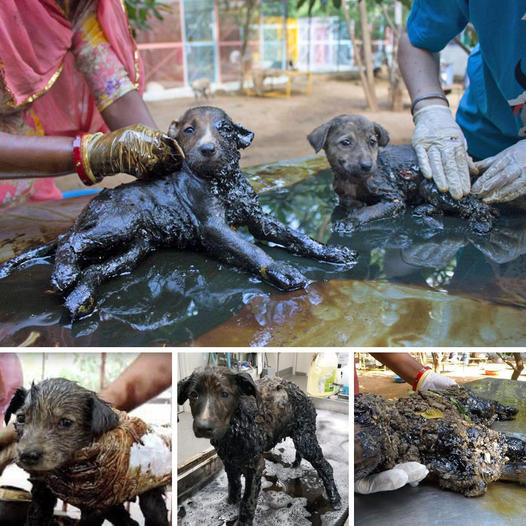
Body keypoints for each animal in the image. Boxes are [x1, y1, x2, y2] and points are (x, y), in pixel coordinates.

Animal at [0, 106, 358, 322]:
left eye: (225, 129)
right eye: (188, 130)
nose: (207, 149)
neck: (223, 183)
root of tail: (88, 209)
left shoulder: (259, 219)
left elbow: (296, 236)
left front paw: (332, 252)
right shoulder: (213, 227)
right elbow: (251, 249)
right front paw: (282, 270)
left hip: (136, 246)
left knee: (94, 269)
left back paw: (80, 297)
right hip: (117, 222)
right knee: (69, 241)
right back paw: (64, 274)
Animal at [4, 380, 169, 526]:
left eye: (66, 422)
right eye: (20, 418)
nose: (27, 455)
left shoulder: (95, 505)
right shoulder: (42, 491)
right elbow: (36, 516)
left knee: (154, 511)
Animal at [177, 368, 342, 526]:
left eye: (224, 394)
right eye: (193, 395)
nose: (203, 427)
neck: (236, 427)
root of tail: (300, 391)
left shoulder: (255, 466)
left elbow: (248, 500)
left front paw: (243, 522)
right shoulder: (229, 463)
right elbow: (234, 487)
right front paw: (230, 505)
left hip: (306, 439)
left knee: (326, 467)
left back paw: (335, 499)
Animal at [308, 115, 502, 235]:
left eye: (372, 142)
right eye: (346, 142)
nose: (368, 166)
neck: (353, 180)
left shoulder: (393, 198)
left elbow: (368, 210)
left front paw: (350, 220)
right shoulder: (344, 196)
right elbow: (351, 203)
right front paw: (353, 209)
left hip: (431, 186)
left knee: (479, 207)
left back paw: (482, 222)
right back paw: (423, 209)